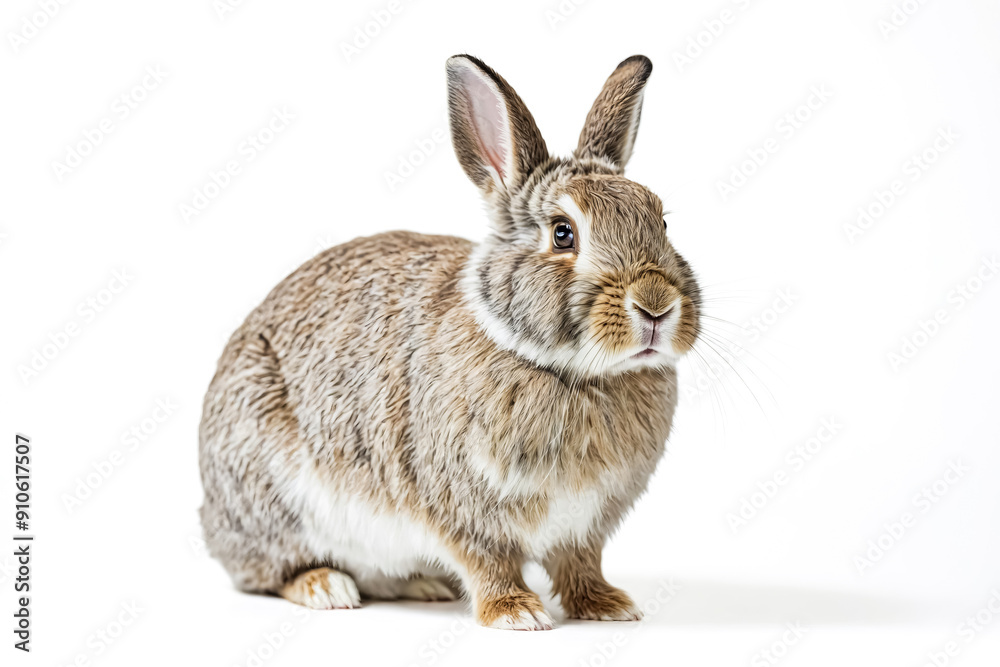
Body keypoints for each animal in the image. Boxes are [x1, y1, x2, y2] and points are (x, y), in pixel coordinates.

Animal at [198, 53, 701, 631]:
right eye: (562, 233)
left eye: (661, 220)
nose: (656, 306)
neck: (571, 371)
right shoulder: (462, 506)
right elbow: (489, 562)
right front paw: (517, 614)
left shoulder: (586, 523)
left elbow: (580, 564)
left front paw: (608, 605)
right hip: (271, 495)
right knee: (271, 570)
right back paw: (325, 586)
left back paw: (424, 585)